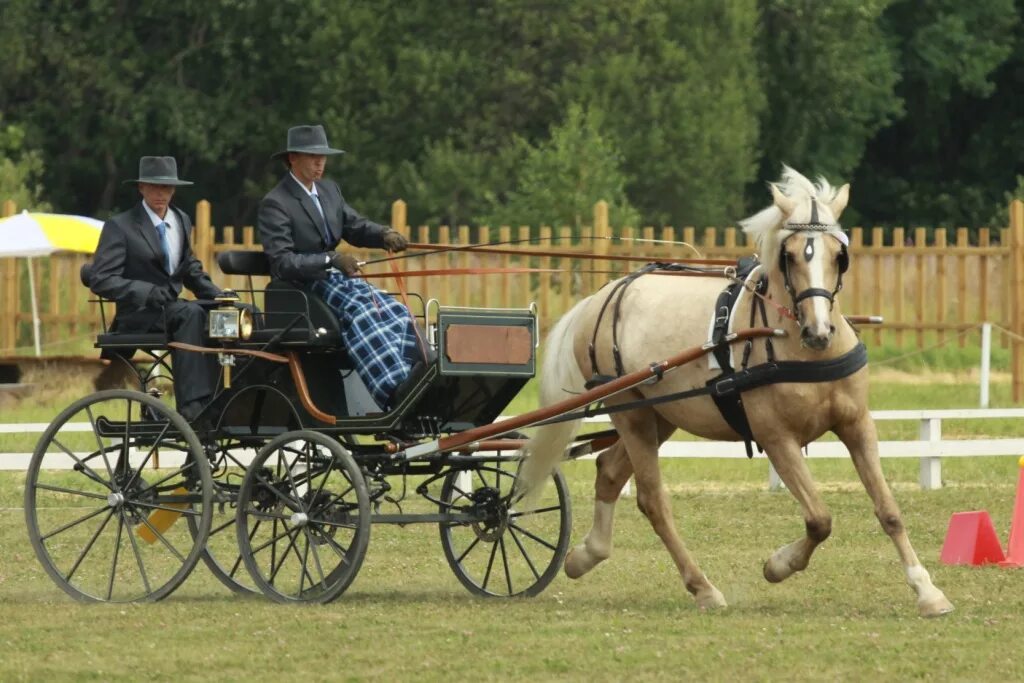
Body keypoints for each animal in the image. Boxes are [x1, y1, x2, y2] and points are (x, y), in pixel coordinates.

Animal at [524, 167, 954, 618]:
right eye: (790, 256)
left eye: (840, 255)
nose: (819, 332)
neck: (795, 342)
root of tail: (600, 296)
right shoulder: (776, 437)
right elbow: (819, 519)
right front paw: (778, 566)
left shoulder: (857, 425)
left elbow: (889, 511)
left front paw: (927, 590)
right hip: (631, 412)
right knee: (652, 499)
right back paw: (702, 587)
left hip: (661, 417)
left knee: (608, 470)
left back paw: (586, 554)